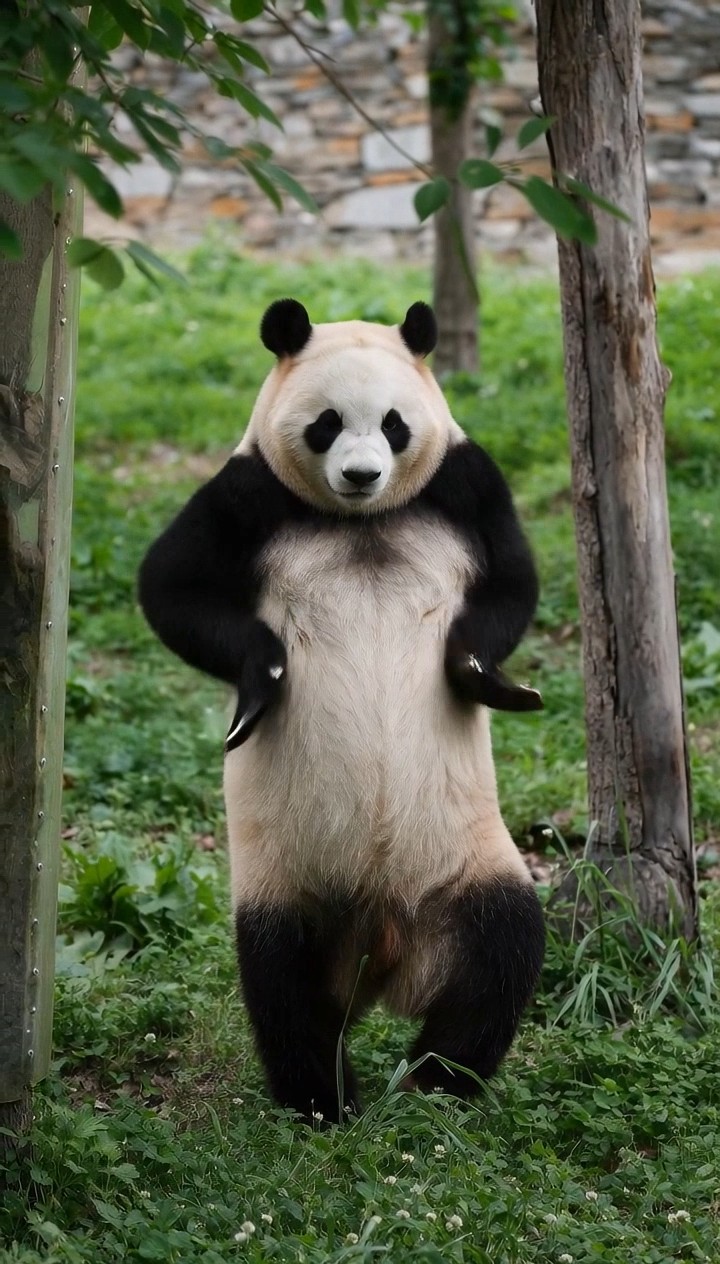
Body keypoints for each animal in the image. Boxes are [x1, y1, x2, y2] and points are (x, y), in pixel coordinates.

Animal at [138, 298, 545, 1124]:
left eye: (394, 424)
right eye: (326, 424)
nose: (362, 476)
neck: (363, 521)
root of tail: (379, 949)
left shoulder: (466, 481)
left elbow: (512, 581)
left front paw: (486, 676)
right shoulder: (249, 492)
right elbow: (169, 585)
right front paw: (261, 682)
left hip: (466, 864)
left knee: (506, 950)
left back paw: (438, 1084)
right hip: (286, 881)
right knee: (281, 985)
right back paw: (328, 1102)